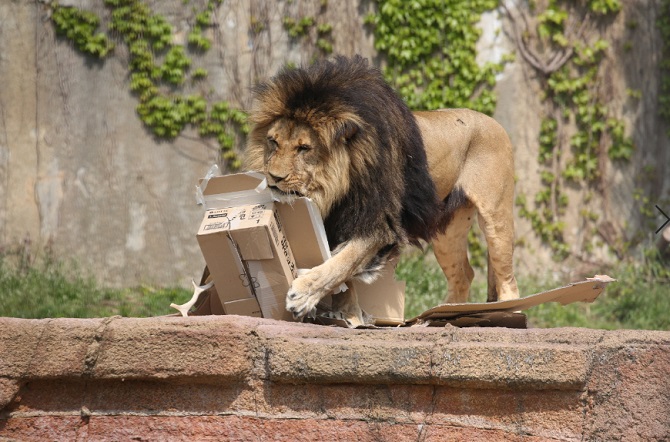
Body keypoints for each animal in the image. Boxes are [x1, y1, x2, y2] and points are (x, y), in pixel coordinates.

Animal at [245, 55, 520, 324]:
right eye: (273, 141)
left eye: (304, 148)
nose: (274, 177)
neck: (334, 186)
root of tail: (493, 121)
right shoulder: (336, 222)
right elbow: (342, 272)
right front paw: (349, 313)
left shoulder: (378, 223)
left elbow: (344, 262)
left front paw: (304, 295)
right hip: (447, 232)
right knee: (464, 275)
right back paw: (444, 314)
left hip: (496, 217)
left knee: (508, 279)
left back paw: (509, 314)